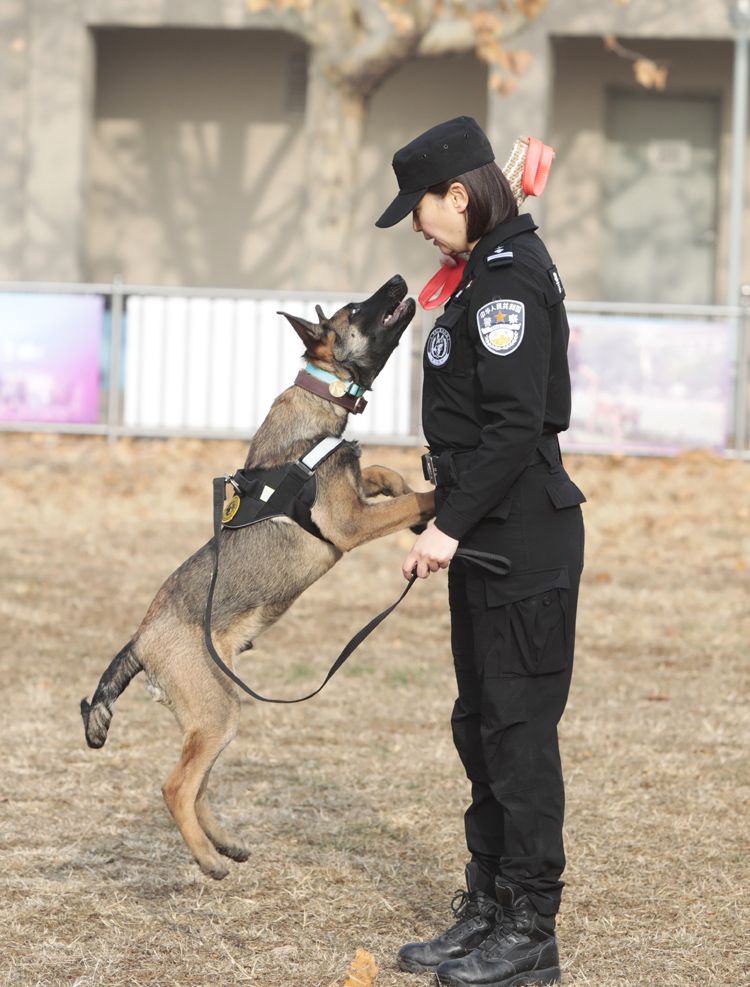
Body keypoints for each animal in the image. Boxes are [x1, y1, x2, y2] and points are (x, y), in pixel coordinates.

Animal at [80, 276, 434, 880]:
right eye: (356, 309)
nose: (398, 283)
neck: (321, 397)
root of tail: (140, 641)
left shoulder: (353, 499)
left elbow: (382, 471)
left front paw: (402, 487)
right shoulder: (350, 525)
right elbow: (411, 496)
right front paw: (434, 500)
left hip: (215, 713)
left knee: (197, 784)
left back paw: (224, 843)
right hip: (218, 713)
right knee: (177, 786)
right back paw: (208, 859)